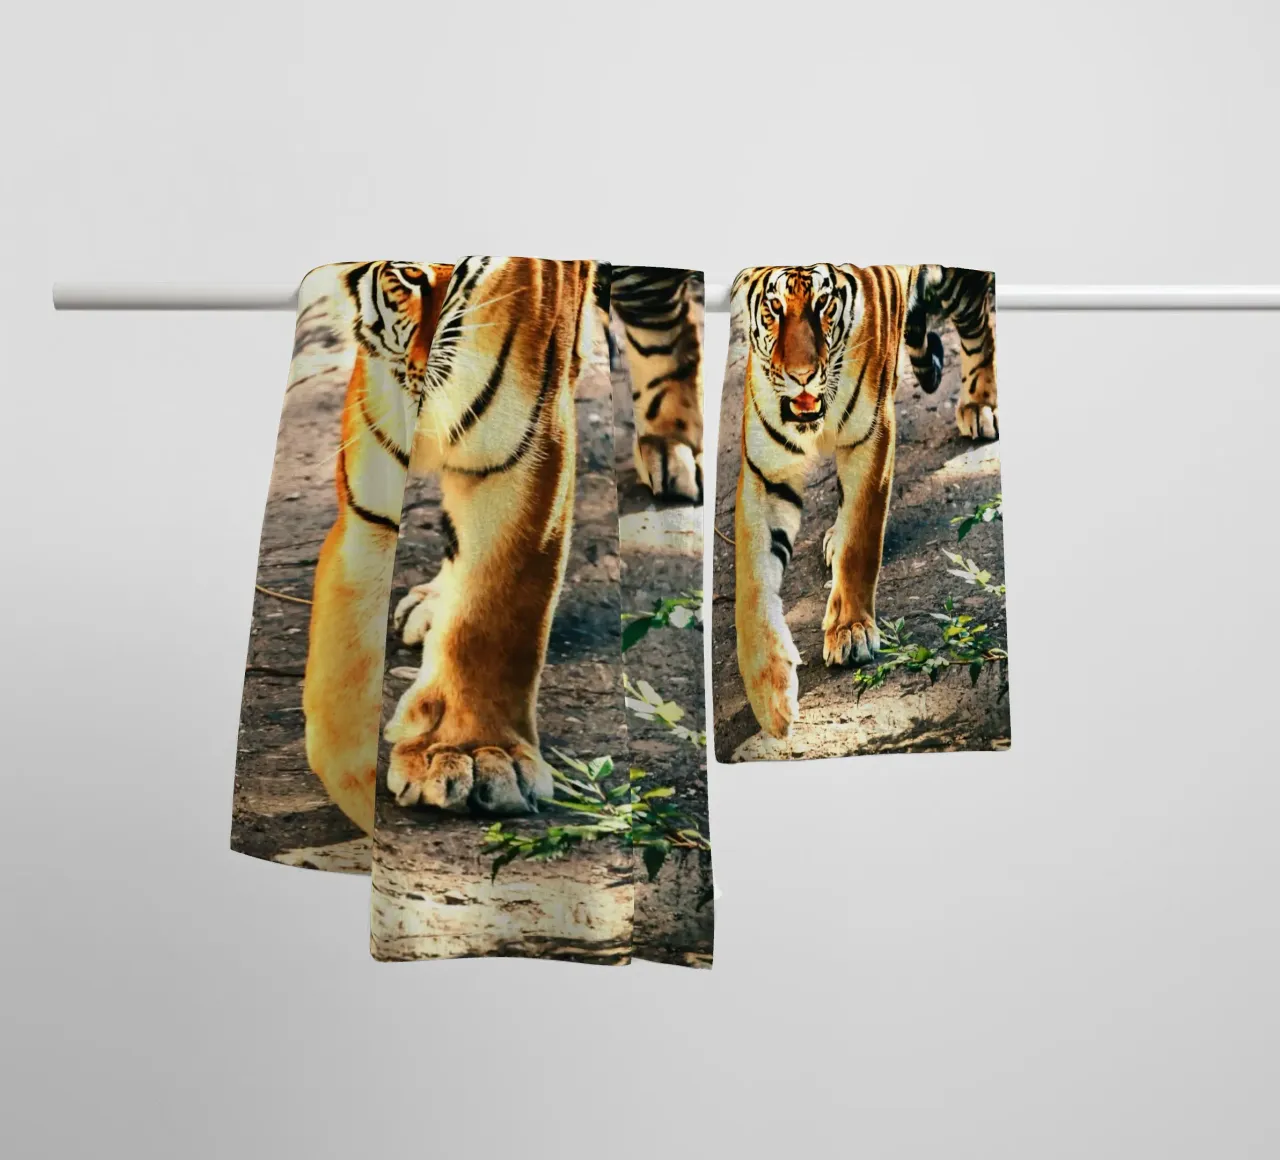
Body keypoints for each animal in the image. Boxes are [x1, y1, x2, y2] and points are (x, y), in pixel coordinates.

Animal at [731, 263, 997, 739]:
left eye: (823, 304)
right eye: (774, 308)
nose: (801, 374)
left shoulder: (870, 438)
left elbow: (861, 539)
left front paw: (850, 631)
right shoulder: (765, 473)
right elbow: (753, 584)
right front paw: (769, 695)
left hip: (959, 287)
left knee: (979, 325)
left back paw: (980, 404)